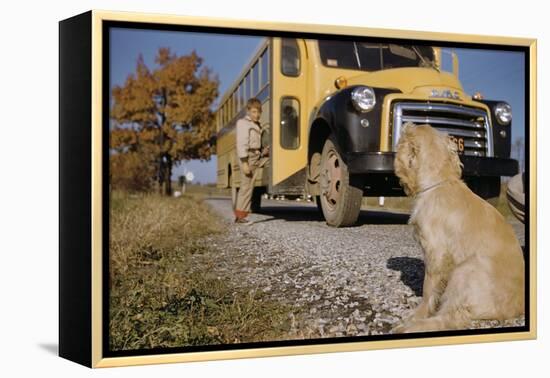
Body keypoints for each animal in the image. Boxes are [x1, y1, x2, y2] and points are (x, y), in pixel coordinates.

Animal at [392, 122, 528, 332]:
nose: (407, 123)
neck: (439, 182)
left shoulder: (436, 253)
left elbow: (428, 289)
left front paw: (417, 314)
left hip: (464, 271)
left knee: (452, 318)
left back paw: (410, 326)